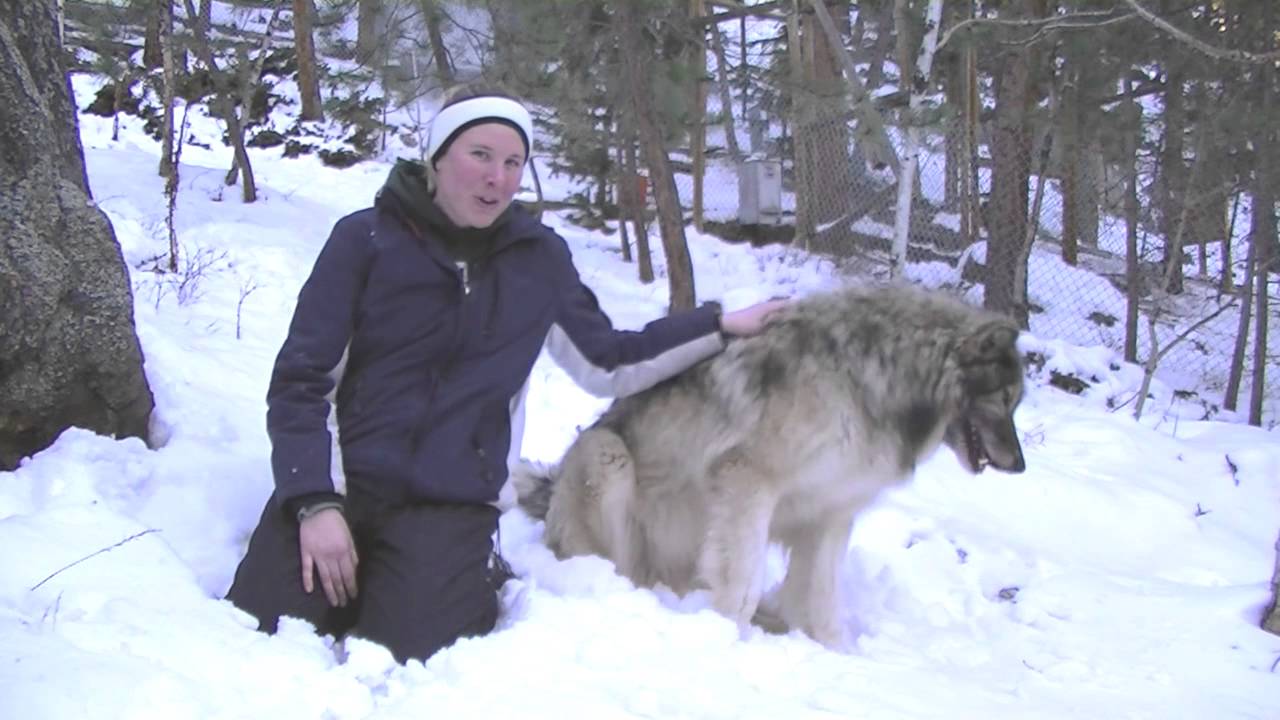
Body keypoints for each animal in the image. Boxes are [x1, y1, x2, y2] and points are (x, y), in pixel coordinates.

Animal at [513, 283, 1027, 650]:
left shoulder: (832, 512)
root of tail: (551, 491)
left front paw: (835, 651)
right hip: (607, 453)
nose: (1020, 466)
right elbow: (741, 586)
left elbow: (822, 597)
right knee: (620, 566)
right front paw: (730, 640)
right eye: (1004, 399)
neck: (873, 381)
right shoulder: (747, 482)